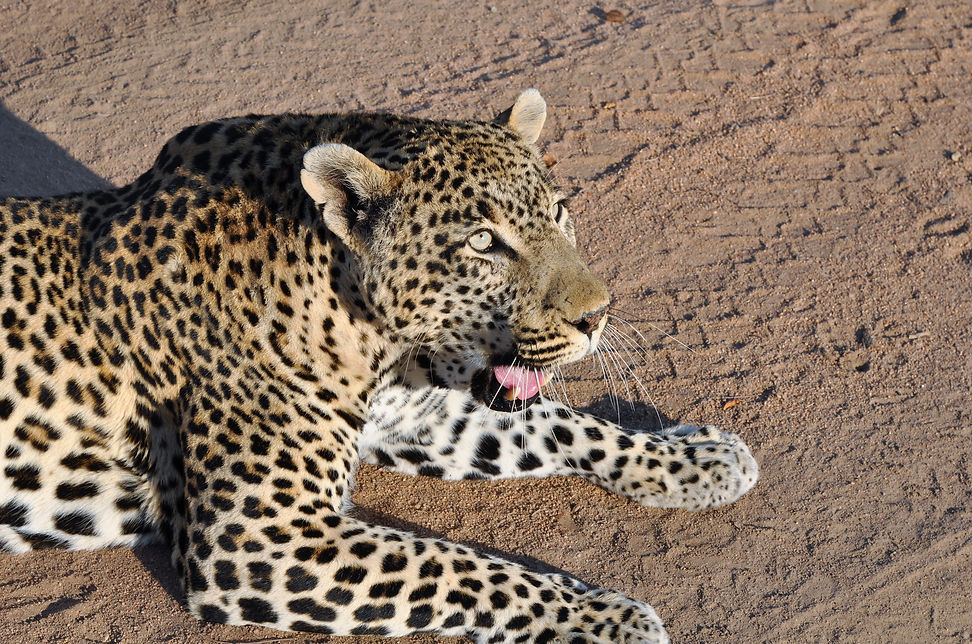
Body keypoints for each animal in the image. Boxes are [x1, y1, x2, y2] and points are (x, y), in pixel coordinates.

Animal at [0, 89, 758, 643]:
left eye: (559, 212)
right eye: (483, 243)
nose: (597, 317)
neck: (375, 336)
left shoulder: (417, 419)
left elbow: (562, 424)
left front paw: (699, 461)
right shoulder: (256, 537)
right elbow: (454, 565)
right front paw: (603, 618)